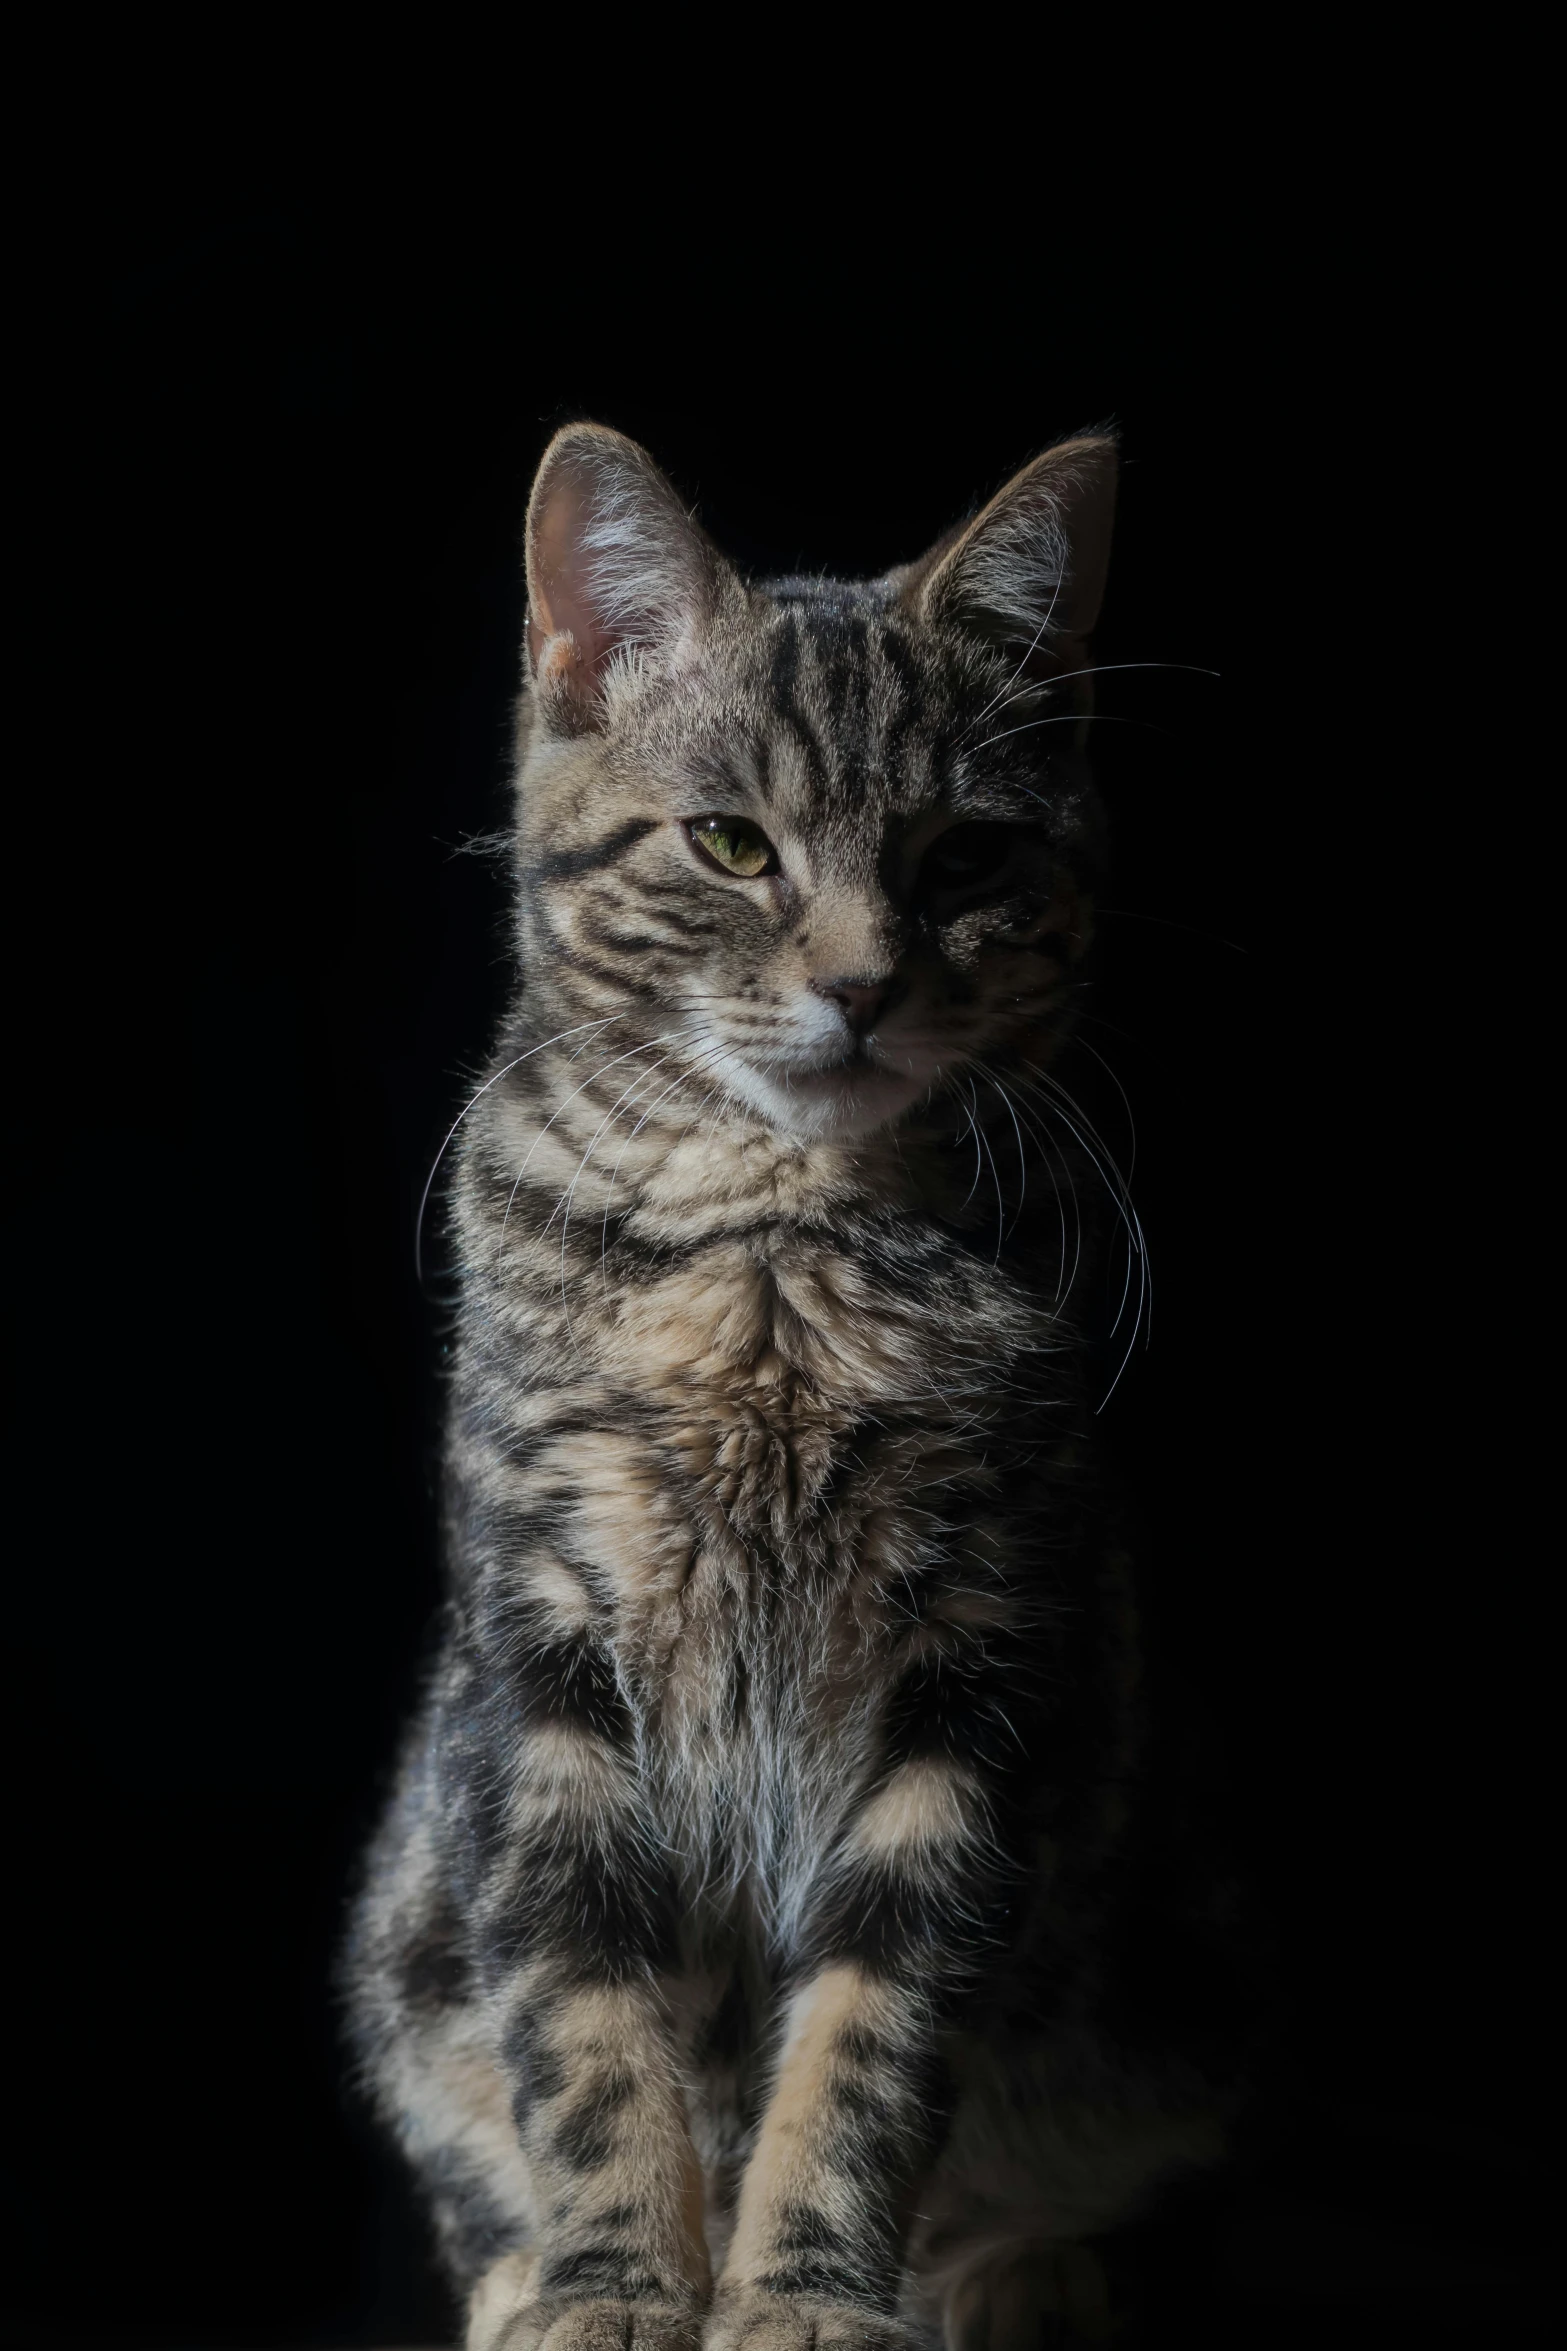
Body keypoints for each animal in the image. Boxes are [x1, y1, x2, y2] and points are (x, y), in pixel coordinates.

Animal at [350, 427, 1231, 2351]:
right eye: (730, 844)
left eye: (964, 855)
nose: (857, 984)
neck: (775, 1263)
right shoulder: (540, 1654)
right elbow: (580, 2021)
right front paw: (611, 2278)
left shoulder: (973, 1669)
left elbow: (870, 2032)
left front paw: (809, 2288)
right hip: (406, 1913)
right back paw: (515, 2270)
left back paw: (1010, 2274)